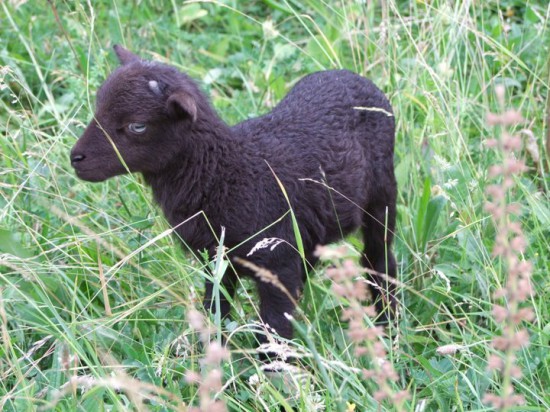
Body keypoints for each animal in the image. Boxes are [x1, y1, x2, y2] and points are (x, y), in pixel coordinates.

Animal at [70, 45, 396, 344]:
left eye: (137, 125)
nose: (76, 158)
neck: (223, 174)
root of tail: (349, 75)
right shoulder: (216, 260)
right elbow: (215, 309)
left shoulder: (276, 262)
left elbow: (275, 328)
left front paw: (272, 365)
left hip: (381, 198)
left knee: (378, 259)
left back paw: (387, 324)